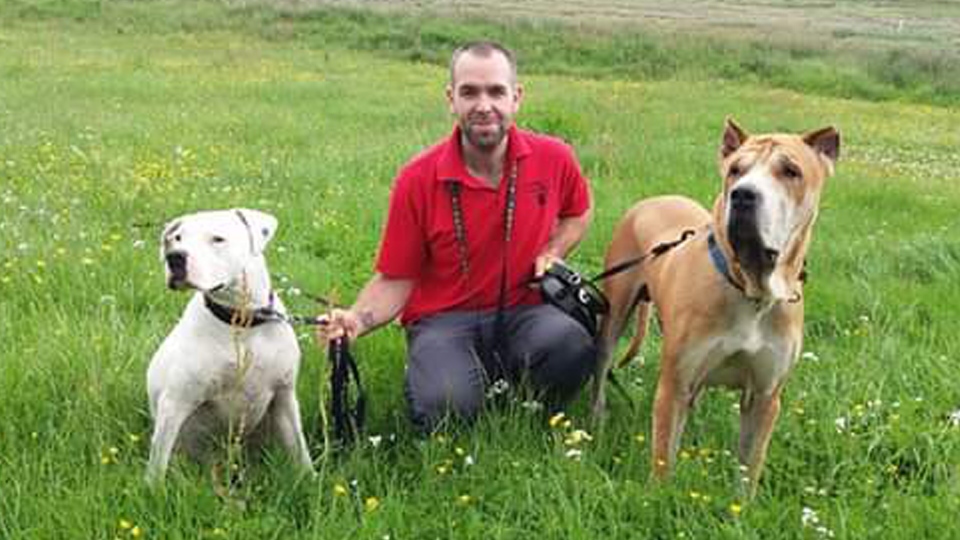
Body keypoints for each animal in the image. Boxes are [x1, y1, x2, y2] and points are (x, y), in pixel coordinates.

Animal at [146, 209, 314, 484]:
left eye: (218, 239)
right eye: (178, 238)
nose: (174, 257)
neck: (242, 322)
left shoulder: (284, 396)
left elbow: (300, 451)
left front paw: (311, 481)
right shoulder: (175, 402)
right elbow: (157, 463)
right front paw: (152, 490)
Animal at [592, 119, 840, 498]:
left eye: (791, 171)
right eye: (736, 170)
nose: (743, 195)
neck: (751, 291)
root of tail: (653, 200)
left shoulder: (765, 397)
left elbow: (749, 465)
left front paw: (742, 505)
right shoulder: (675, 384)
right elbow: (663, 457)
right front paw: (659, 499)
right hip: (616, 311)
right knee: (603, 362)